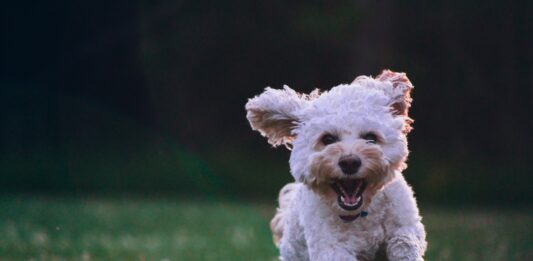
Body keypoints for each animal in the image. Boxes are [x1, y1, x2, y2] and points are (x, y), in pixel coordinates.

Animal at [246, 70, 428, 258]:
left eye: (371, 137)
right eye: (327, 139)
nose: (350, 162)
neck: (360, 213)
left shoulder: (406, 222)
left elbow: (404, 240)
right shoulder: (331, 247)